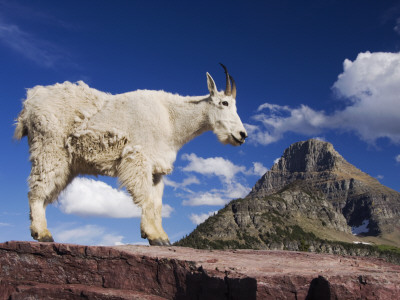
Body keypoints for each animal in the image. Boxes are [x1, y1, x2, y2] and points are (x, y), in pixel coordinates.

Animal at [14, 64, 247, 245]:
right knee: (36, 190)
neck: (172, 120)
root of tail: (29, 103)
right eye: (224, 103)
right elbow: (146, 198)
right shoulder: (139, 159)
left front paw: (159, 236)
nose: (242, 135)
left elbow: (157, 203)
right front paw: (154, 236)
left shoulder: (156, 169)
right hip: (49, 148)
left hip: (67, 164)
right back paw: (43, 234)